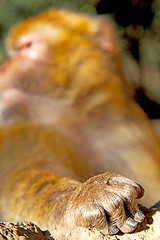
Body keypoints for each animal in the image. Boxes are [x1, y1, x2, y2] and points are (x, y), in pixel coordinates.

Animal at [0, 7, 159, 236]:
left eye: (28, 46)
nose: (3, 68)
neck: (76, 123)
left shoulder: (127, 136)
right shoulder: (28, 133)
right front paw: (85, 193)